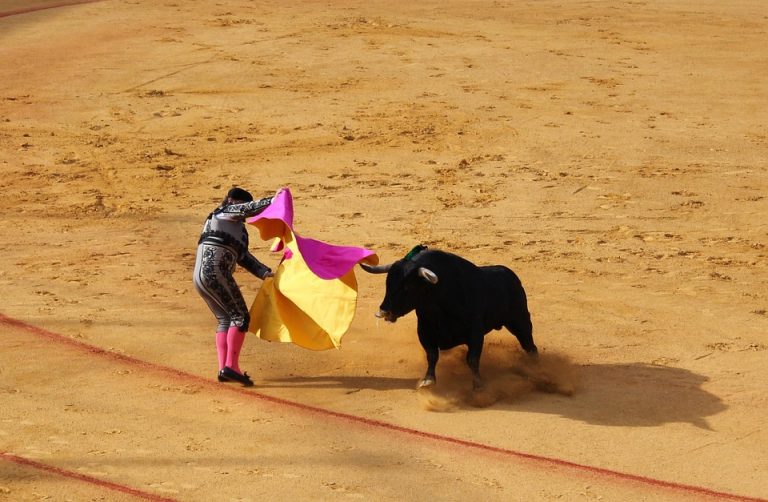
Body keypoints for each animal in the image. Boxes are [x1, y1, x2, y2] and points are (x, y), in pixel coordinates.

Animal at [361, 245, 537, 390]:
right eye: (387, 284)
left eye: (407, 287)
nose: (382, 312)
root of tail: (511, 276)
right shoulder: (425, 330)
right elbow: (432, 355)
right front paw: (428, 381)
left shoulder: (475, 331)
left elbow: (472, 359)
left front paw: (478, 385)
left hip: (520, 320)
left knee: (529, 344)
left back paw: (535, 366)